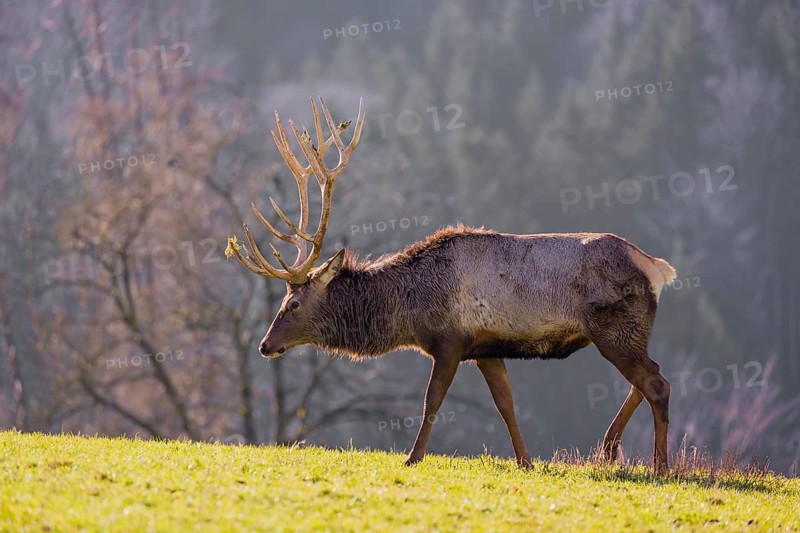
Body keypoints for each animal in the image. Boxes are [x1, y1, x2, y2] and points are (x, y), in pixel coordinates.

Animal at [226, 97, 677, 473]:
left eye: (293, 303)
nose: (265, 345)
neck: (406, 310)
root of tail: (657, 268)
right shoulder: (486, 349)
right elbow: (506, 405)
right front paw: (526, 461)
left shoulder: (449, 340)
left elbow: (432, 401)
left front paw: (412, 457)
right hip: (625, 333)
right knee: (647, 378)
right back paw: (608, 450)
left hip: (615, 329)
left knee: (656, 383)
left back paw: (660, 466)